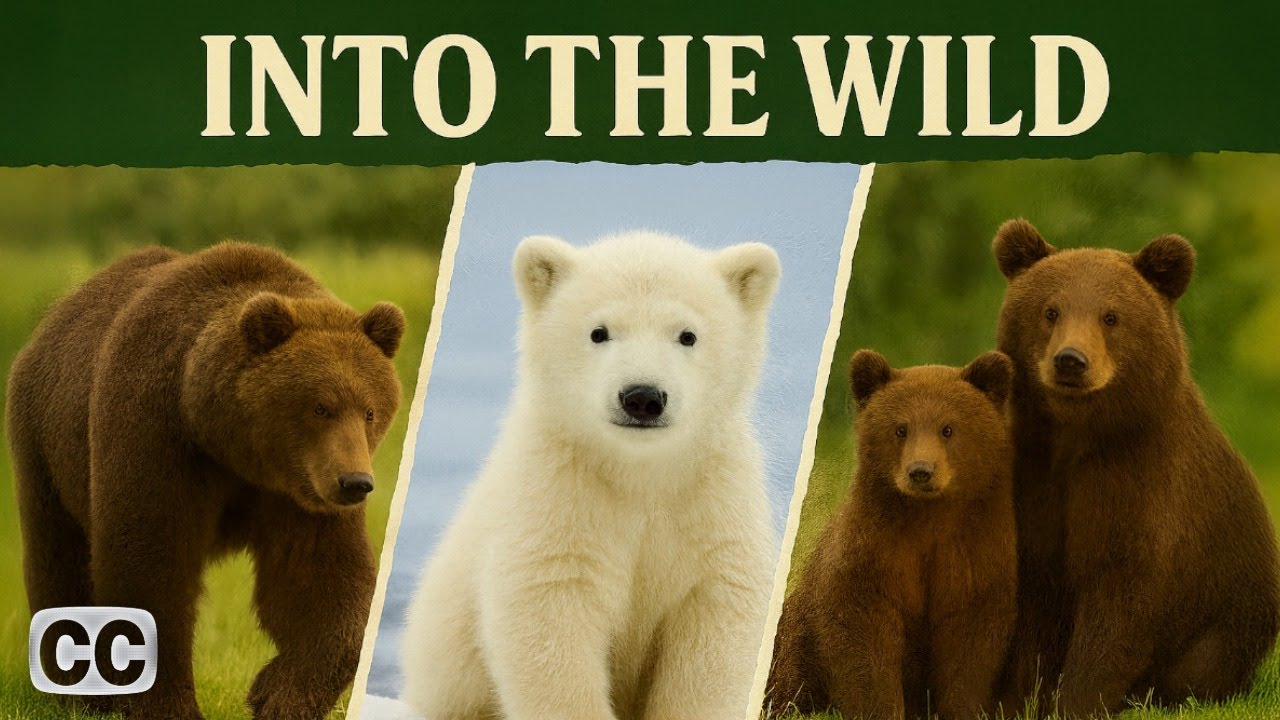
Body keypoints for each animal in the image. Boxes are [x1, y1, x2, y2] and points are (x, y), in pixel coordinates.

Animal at [6, 242, 406, 720]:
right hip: (47, 445)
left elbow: (320, 578)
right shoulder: (155, 431)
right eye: (320, 407)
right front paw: (166, 703)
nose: (355, 482)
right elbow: (150, 565)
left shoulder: (297, 491)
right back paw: (76, 693)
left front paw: (273, 692)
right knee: (59, 556)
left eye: (370, 410)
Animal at [399, 231, 781, 720]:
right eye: (599, 332)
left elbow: (715, 627)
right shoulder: (560, 495)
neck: (639, 473)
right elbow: (550, 617)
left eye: (688, 335)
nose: (642, 397)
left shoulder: (712, 502)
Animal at [767, 350, 1017, 720]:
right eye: (901, 428)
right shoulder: (873, 555)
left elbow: (970, 644)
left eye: (948, 428)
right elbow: (867, 645)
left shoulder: (972, 558)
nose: (921, 471)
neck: (927, 518)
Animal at [992, 219, 1280, 716]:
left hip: (1226, 621)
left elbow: (1121, 607)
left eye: (1111, 316)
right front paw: (1021, 699)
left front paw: (1076, 701)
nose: (1071, 360)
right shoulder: (1034, 483)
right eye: (1050, 311)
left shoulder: (1140, 487)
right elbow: (1032, 606)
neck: (1078, 436)